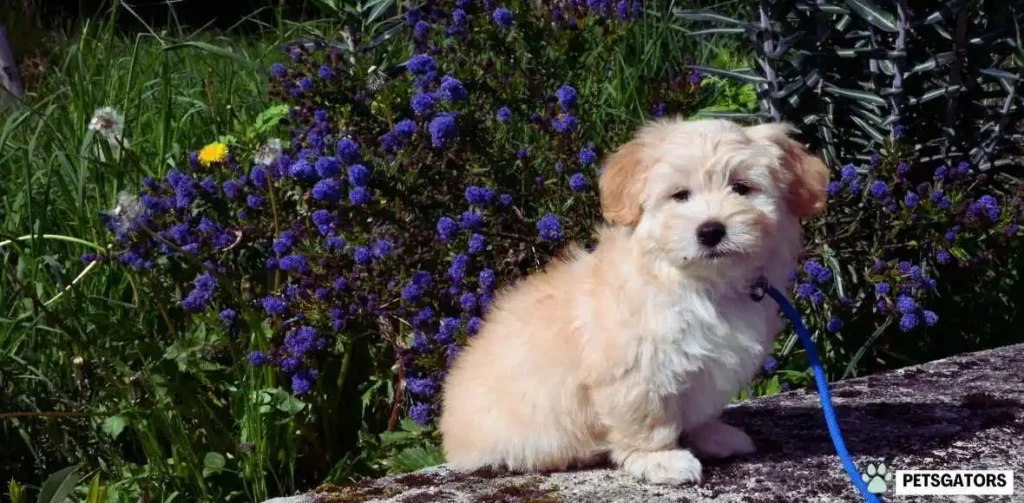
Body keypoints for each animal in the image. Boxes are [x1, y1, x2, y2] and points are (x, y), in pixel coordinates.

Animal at [436, 117, 827, 483]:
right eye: (680, 195)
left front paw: (714, 437)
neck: (699, 284)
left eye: (742, 188)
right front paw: (661, 460)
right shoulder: (636, 371)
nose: (711, 230)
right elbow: (648, 421)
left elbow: (701, 412)